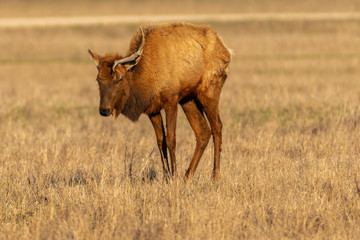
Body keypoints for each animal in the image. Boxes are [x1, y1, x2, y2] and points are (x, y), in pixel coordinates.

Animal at [88, 22, 232, 181]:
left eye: (119, 79)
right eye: (98, 80)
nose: (104, 110)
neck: (145, 74)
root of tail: (226, 51)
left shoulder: (171, 101)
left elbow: (171, 139)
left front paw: (174, 176)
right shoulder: (153, 109)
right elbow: (160, 141)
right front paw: (166, 177)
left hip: (209, 92)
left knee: (217, 128)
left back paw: (215, 176)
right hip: (189, 100)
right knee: (203, 131)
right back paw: (187, 176)